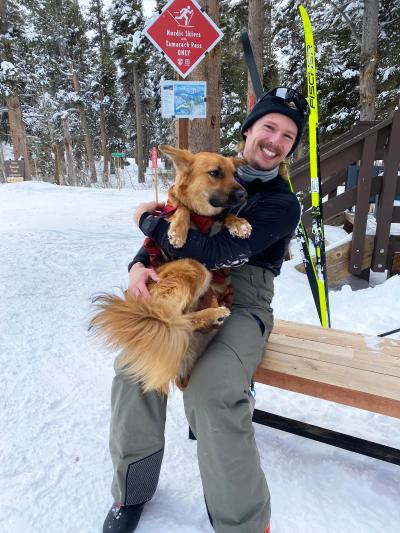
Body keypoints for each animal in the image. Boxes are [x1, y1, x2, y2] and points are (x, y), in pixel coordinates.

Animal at [91, 145, 253, 394]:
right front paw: (177, 230)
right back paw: (213, 313)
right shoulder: (173, 210)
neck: (203, 217)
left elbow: (226, 215)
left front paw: (239, 223)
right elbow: (181, 208)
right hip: (192, 267)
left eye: (235, 174)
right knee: (177, 319)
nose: (244, 194)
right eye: (215, 173)